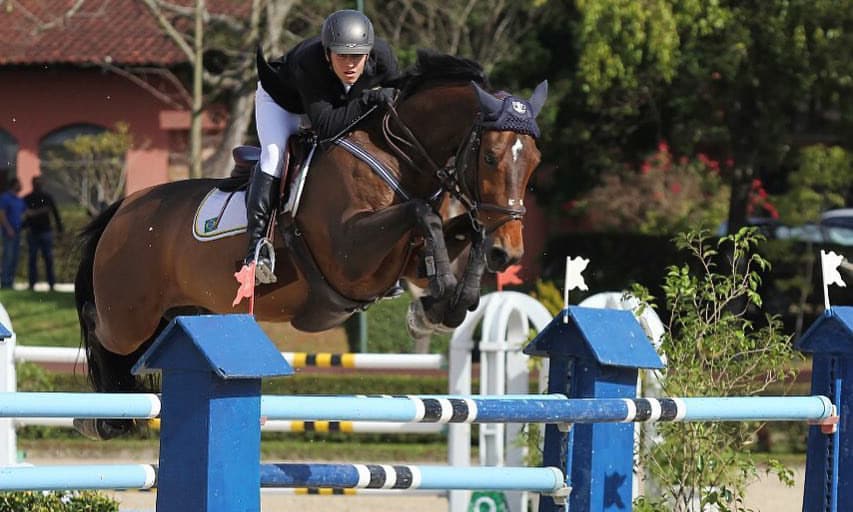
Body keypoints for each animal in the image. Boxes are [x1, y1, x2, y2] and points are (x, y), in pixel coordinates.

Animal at [76, 50, 548, 438]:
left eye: (534, 161)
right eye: (491, 157)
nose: (510, 253)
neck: (396, 153)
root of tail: (124, 208)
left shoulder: (410, 258)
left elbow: (458, 235)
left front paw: (441, 305)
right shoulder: (350, 255)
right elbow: (423, 214)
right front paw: (438, 300)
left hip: (185, 312)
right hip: (130, 317)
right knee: (100, 330)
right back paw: (100, 420)